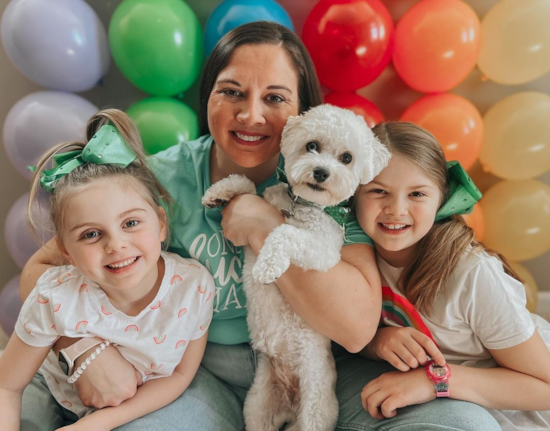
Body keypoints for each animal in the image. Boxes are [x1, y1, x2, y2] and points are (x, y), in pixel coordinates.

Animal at [204, 105, 392, 431]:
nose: (321, 172)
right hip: (257, 407)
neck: (301, 205)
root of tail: (291, 405)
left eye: (347, 158)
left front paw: (268, 265)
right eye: (312, 145)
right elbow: (248, 185)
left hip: (315, 411)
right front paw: (220, 191)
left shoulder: (323, 251)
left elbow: (284, 233)